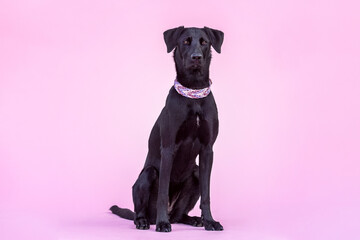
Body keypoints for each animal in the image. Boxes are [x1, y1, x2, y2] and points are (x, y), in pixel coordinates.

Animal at [109, 25, 224, 232]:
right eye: (185, 41)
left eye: (204, 42)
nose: (196, 57)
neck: (193, 92)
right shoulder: (168, 148)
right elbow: (163, 192)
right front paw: (163, 223)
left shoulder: (208, 150)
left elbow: (207, 194)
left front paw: (210, 221)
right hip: (147, 175)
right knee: (140, 210)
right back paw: (146, 221)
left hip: (195, 173)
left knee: (179, 215)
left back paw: (194, 219)